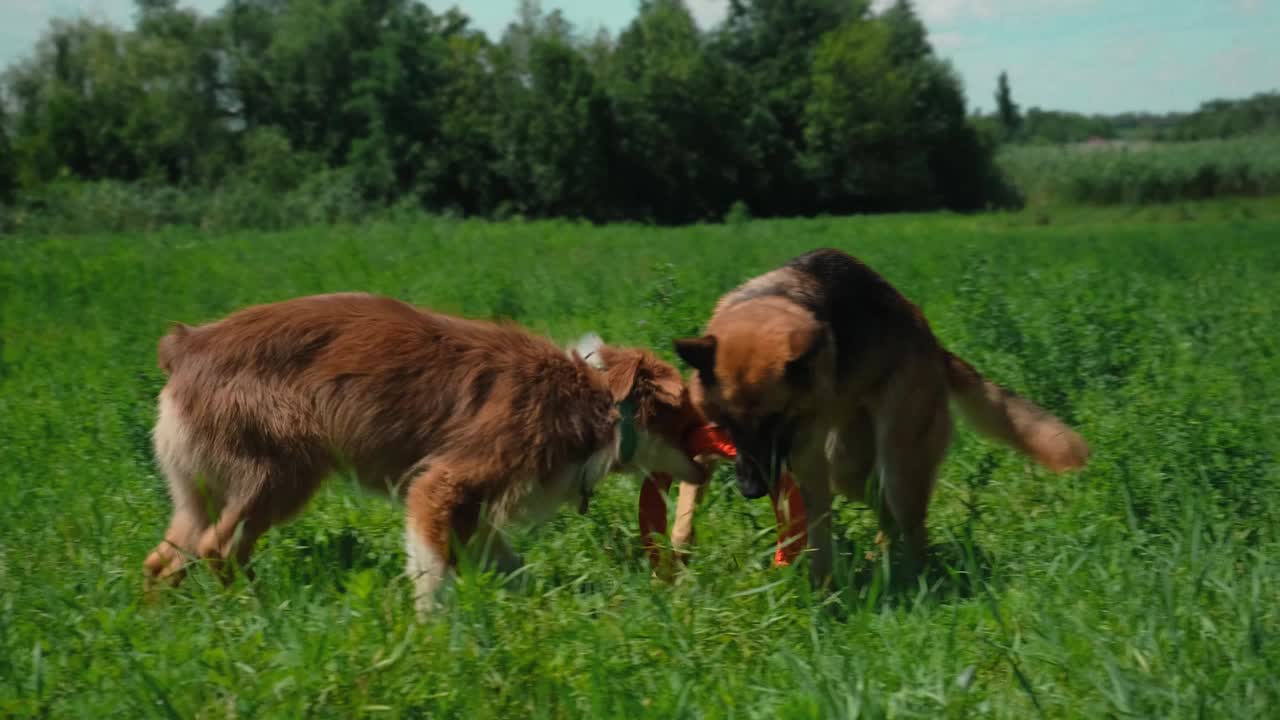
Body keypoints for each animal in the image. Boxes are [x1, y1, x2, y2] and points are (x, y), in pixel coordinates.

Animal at [147, 292, 711, 609]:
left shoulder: (478, 513)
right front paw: (433, 635)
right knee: (218, 548)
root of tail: (185, 346)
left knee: (164, 560)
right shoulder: (444, 484)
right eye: (690, 417)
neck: (595, 399)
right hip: (280, 474)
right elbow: (431, 572)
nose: (711, 470)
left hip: (201, 492)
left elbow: (511, 568)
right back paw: (260, 608)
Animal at [675, 245, 1085, 584]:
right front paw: (678, 555)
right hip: (850, 469)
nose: (751, 490)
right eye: (728, 425)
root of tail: (934, 346)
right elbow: (687, 499)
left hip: (895, 464)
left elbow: (818, 537)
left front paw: (822, 597)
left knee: (911, 525)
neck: (765, 305)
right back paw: (883, 559)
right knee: (884, 509)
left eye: (776, 420)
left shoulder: (806, 460)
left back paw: (916, 579)